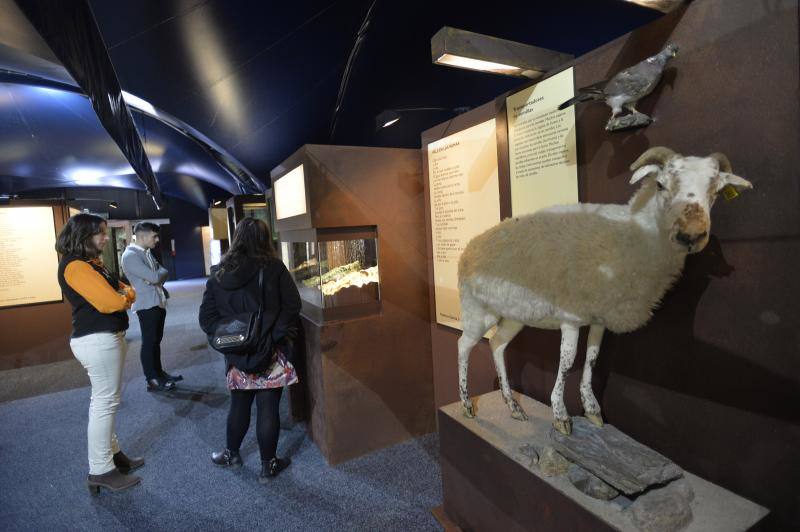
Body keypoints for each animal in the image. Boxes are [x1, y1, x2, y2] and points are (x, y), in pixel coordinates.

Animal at [460, 144, 752, 432]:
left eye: (716, 191)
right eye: (660, 184)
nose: (690, 235)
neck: (633, 234)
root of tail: (469, 246)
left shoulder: (600, 318)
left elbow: (592, 358)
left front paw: (591, 409)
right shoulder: (571, 316)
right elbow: (567, 362)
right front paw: (560, 415)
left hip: (513, 315)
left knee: (497, 344)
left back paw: (513, 407)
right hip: (476, 310)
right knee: (464, 345)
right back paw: (467, 405)